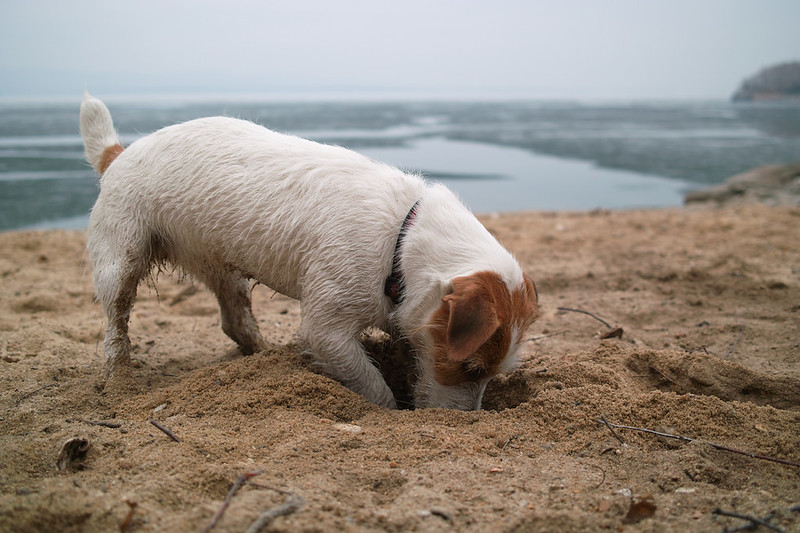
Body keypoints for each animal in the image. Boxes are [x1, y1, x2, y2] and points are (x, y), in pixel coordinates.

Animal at [79, 91, 536, 410]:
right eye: (471, 367)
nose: (466, 419)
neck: (401, 239)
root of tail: (119, 154)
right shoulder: (326, 328)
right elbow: (373, 386)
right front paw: (390, 408)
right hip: (121, 262)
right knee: (115, 328)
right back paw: (119, 381)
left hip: (224, 268)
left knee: (235, 319)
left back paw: (262, 356)